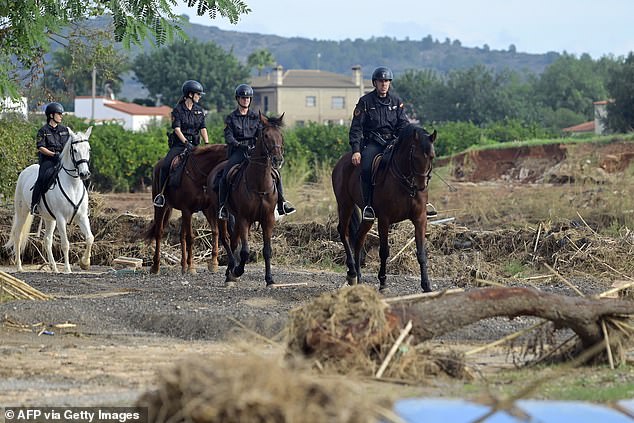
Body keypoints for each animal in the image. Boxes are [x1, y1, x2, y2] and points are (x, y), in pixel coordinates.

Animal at [4, 126, 94, 274]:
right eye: (75, 150)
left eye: (89, 149)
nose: (84, 174)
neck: (72, 185)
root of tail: (25, 171)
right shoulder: (61, 218)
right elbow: (65, 244)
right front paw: (68, 269)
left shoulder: (81, 216)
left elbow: (90, 238)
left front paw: (85, 263)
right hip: (23, 212)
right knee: (18, 235)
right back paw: (19, 267)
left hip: (49, 218)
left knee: (47, 240)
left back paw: (54, 268)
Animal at [143, 143, 225, 274]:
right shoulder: (187, 209)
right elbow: (190, 237)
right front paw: (191, 267)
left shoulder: (207, 208)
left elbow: (215, 231)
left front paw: (213, 264)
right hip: (161, 207)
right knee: (159, 232)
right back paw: (156, 267)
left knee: (181, 235)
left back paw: (183, 265)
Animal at [206, 112, 286, 286]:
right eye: (266, 135)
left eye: (281, 135)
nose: (277, 159)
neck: (259, 184)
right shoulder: (244, 218)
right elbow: (245, 251)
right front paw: (237, 271)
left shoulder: (268, 219)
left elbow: (267, 250)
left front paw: (270, 279)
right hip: (222, 214)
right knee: (226, 239)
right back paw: (231, 270)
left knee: (234, 240)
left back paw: (230, 272)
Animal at [330, 124, 434, 294]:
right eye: (415, 157)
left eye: (431, 156)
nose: (421, 186)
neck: (406, 182)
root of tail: (343, 161)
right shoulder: (385, 220)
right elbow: (384, 251)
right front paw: (383, 282)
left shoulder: (420, 219)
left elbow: (421, 253)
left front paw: (426, 285)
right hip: (345, 204)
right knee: (343, 232)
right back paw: (352, 272)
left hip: (367, 218)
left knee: (359, 238)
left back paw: (358, 275)